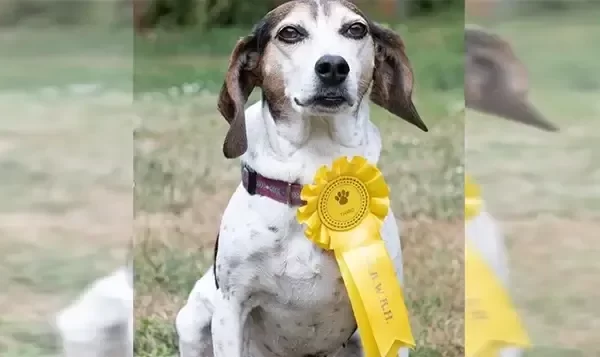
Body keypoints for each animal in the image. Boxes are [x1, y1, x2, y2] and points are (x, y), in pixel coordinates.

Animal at [176, 0, 428, 356]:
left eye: (356, 29)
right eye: (290, 33)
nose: (333, 66)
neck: (313, 176)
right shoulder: (230, 308)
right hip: (192, 320)